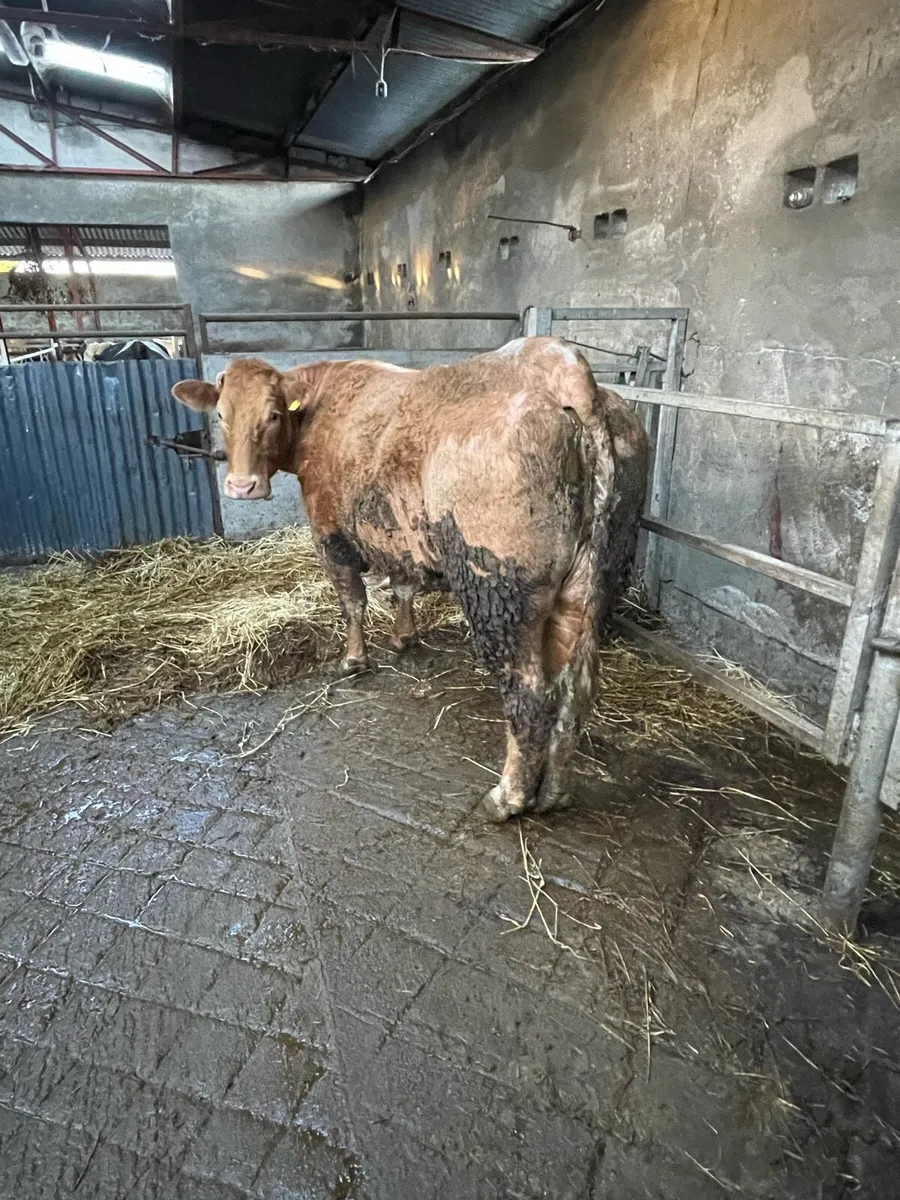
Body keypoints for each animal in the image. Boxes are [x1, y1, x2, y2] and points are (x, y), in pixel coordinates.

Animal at [172, 337, 649, 822]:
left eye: (272, 414)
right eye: (221, 415)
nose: (241, 486)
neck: (324, 402)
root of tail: (562, 365)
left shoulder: (329, 530)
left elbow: (353, 602)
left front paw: (354, 660)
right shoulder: (395, 531)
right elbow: (402, 586)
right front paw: (404, 637)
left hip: (499, 588)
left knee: (529, 692)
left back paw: (508, 797)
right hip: (594, 580)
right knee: (577, 686)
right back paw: (554, 792)